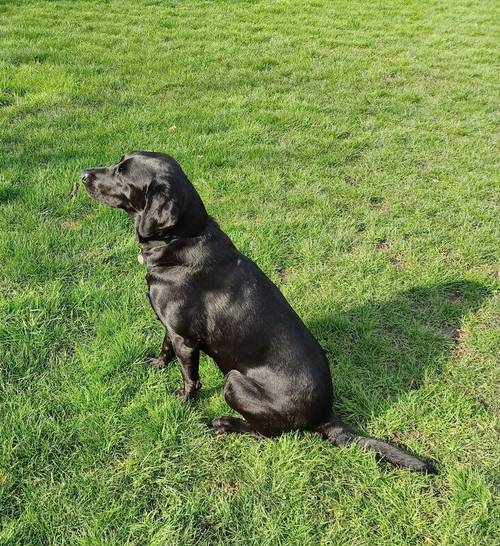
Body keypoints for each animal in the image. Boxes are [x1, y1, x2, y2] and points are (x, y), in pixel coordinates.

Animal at [81, 151, 434, 470]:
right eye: (118, 161)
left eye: (122, 173)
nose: (83, 174)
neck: (182, 239)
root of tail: (326, 416)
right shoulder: (172, 328)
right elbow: (164, 347)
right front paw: (156, 364)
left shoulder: (185, 338)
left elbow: (190, 378)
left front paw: (183, 402)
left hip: (234, 381)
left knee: (268, 434)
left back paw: (227, 424)